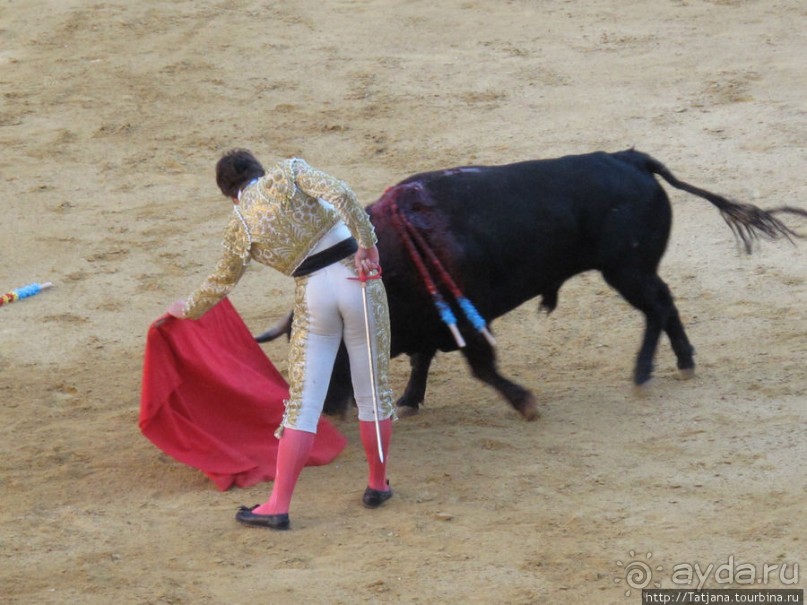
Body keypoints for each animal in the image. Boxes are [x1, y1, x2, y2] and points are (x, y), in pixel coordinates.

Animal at [258, 149, 807, 418]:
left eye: (337, 348)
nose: (329, 410)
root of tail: (629, 158)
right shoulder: (436, 317)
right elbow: (423, 356)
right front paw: (412, 399)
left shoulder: (464, 317)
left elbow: (480, 366)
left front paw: (524, 402)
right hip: (635, 270)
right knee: (666, 299)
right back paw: (685, 360)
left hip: (625, 271)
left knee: (655, 306)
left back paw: (643, 370)